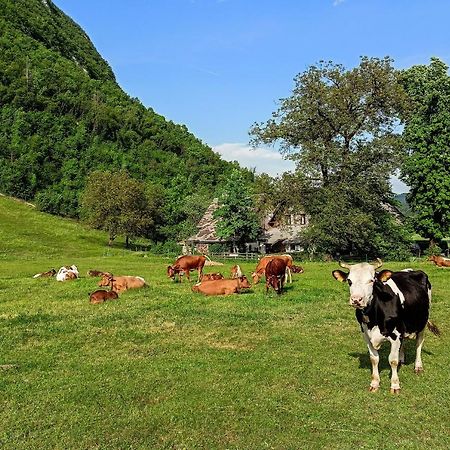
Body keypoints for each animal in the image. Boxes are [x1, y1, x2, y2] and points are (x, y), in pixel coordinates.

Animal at [330, 260, 440, 394]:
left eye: (372, 280)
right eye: (349, 281)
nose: (356, 299)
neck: (373, 318)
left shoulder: (395, 335)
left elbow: (392, 360)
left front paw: (395, 385)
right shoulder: (366, 335)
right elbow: (374, 359)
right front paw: (375, 383)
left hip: (422, 322)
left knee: (419, 343)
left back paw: (418, 366)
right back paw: (402, 358)